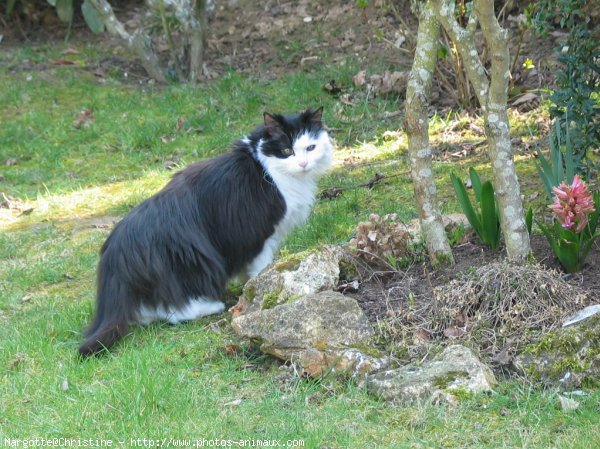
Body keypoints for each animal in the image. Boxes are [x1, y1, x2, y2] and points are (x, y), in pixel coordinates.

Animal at [78, 107, 332, 356]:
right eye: (287, 150)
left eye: (310, 147)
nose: (303, 164)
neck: (266, 167)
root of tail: (116, 254)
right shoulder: (260, 235)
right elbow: (261, 267)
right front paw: (260, 289)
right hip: (195, 262)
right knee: (176, 309)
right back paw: (212, 306)